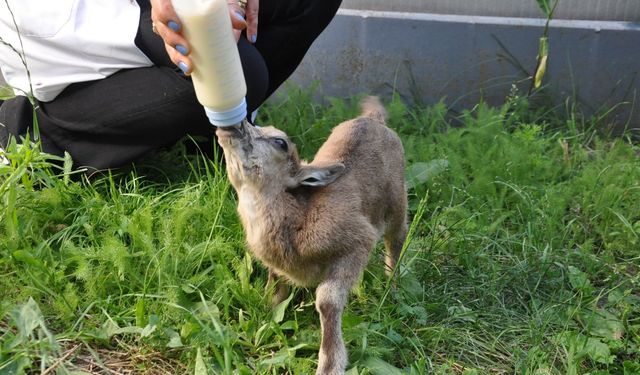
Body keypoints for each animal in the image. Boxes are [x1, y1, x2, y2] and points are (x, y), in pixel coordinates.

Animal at [215, 97, 404, 375]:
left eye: (280, 142)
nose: (231, 128)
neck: (298, 217)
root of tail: (373, 119)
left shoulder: (358, 242)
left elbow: (327, 301)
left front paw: (330, 365)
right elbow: (275, 286)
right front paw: (266, 312)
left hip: (398, 204)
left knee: (396, 242)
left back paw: (392, 289)